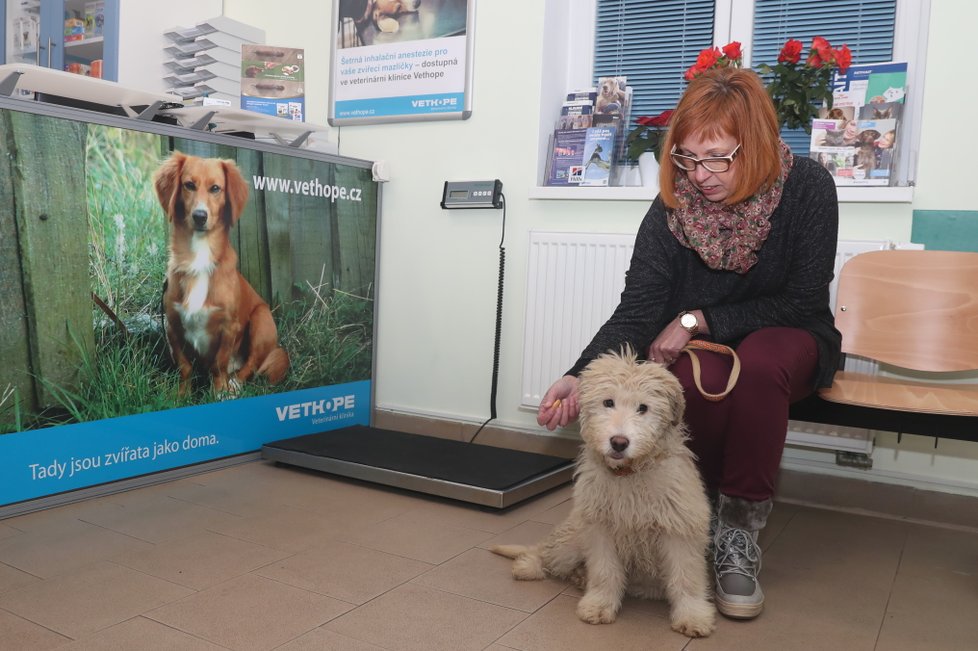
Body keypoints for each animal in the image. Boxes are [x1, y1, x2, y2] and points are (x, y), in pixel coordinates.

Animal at [152, 153, 288, 398]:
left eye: (215, 188)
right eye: (189, 185)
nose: (199, 216)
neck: (199, 258)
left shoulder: (228, 328)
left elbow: (218, 365)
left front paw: (220, 393)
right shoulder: (173, 326)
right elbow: (185, 366)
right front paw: (181, 395)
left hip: (261, 320)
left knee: (251, 364)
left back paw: (234, 385)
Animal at [492, 348, 712, 640]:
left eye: (643, 408)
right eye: (608, 402)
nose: (619, 442)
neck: (629, 474)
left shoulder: (679, 530)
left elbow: (686, 578)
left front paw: (692, 615)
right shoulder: (600, 530)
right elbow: (605, 572)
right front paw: (598, 604)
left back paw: (578, 576)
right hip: (571, 541)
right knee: (543, 552)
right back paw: (529, 566)